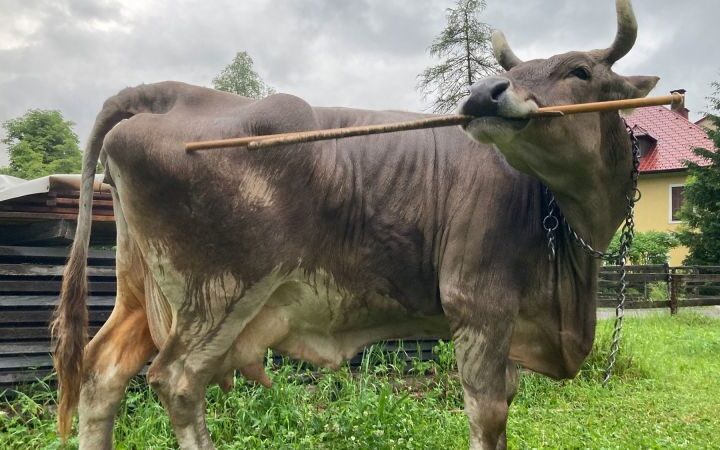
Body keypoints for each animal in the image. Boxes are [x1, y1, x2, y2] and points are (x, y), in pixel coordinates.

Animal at [51, 0, 658, 448]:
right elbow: (487, 417)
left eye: (580, 71)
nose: (484, 93)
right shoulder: (478, 307)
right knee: (177, 381)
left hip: (142, 291)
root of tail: (173, 93)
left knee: (102, 373)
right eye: (513, 72)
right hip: (219, 294)